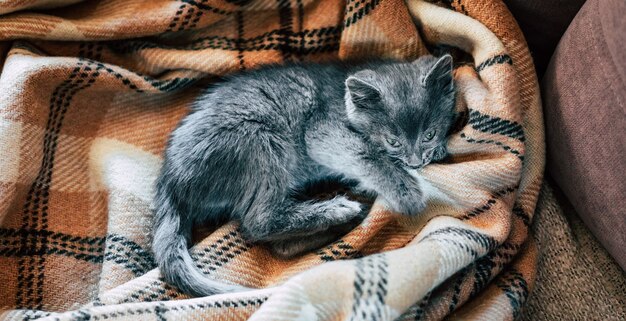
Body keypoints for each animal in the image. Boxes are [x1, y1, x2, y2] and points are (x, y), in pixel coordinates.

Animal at [150, 54, 454, 296]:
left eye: (429, 134)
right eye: (393, 141)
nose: (416, 161)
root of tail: (170, 180)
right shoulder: (322, 132)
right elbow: (367, 155)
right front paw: (406, 192)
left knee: (277, 245)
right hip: (261, 138)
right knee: (257, 222)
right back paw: (338, 212)